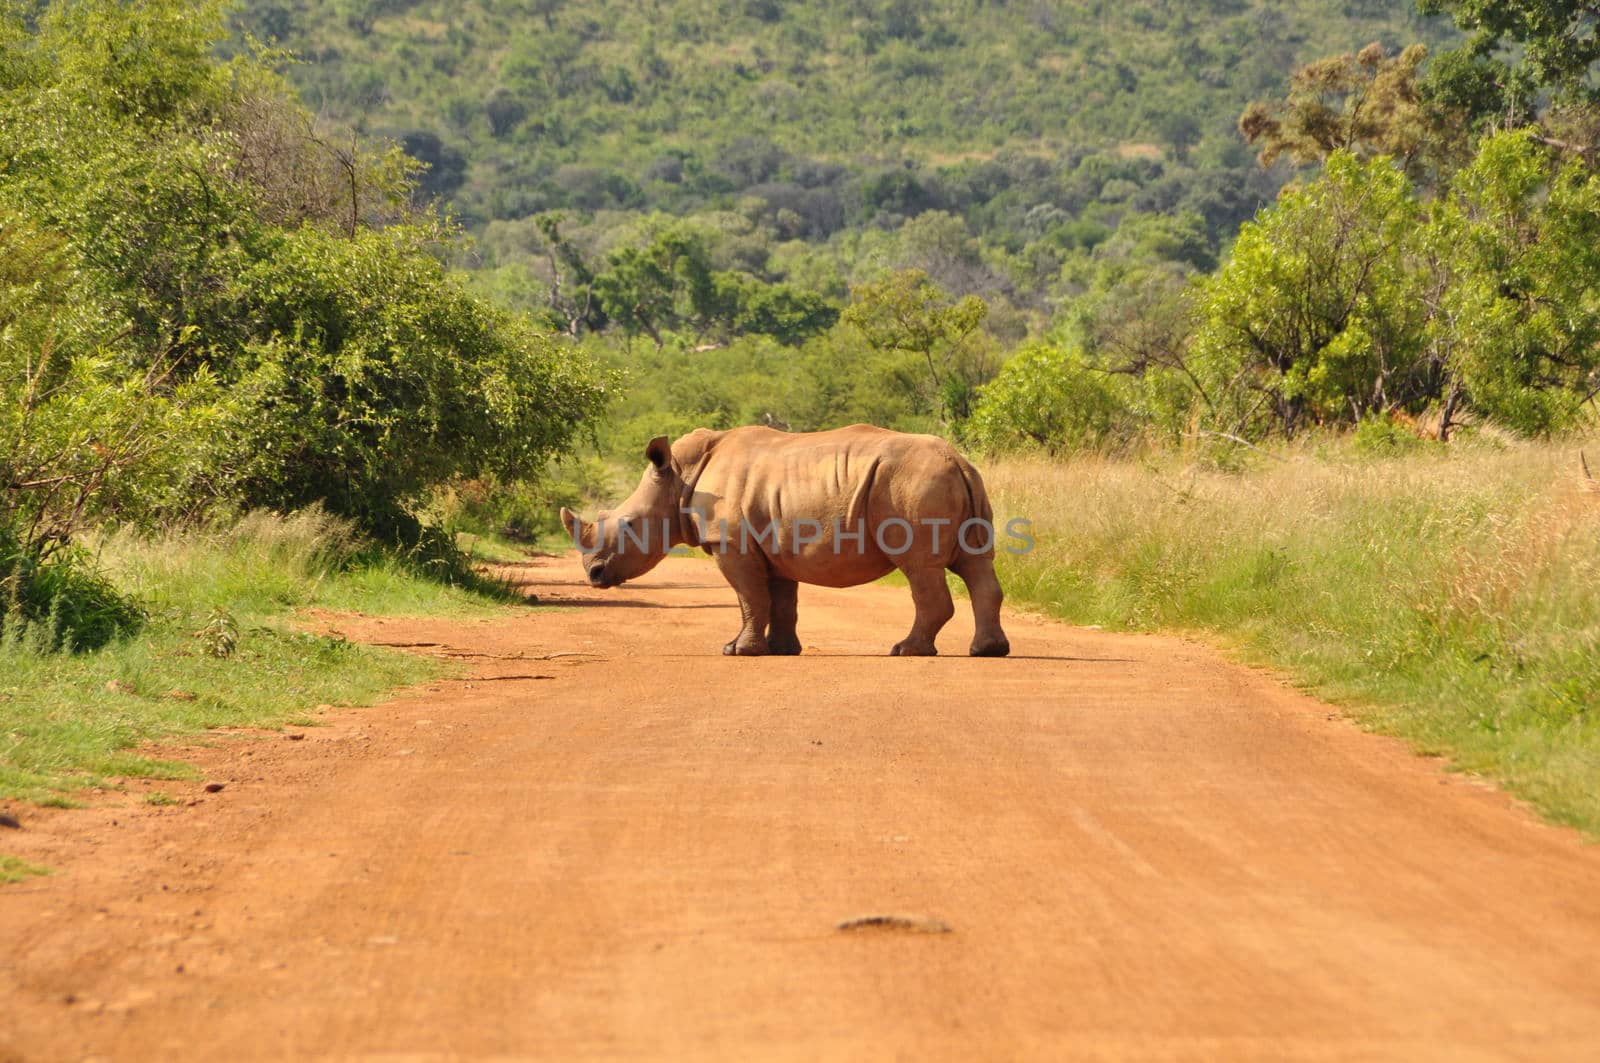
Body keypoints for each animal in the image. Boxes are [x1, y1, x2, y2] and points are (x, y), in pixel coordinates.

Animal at [563, 422, 1011, 656]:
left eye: (627, 526)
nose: (594, 574)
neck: (679, 476)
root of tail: (959, 460)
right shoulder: (774, 543)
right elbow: (780, 601)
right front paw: (781, 649)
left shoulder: (732, 544)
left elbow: (749, 597)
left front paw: (737, 651)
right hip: (950, 480)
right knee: (976, 565)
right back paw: (987, 651)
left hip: (911, 485)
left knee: (919, 567)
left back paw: (905, 651)